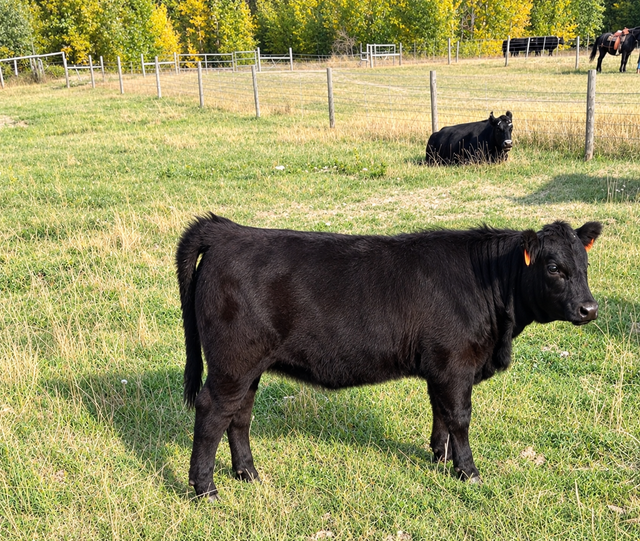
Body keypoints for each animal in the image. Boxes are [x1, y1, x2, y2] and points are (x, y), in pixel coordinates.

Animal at [176, 214, 602, 501]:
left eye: (585, 265)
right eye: (553, 267)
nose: (589, 309)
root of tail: (228, 231)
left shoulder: (439, 366)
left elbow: (440, 413)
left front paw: (439, 457)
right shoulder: (455, 363)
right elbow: (460, 418)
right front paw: (467, 471)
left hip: (248, 367)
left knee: (239, 416)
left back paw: (247, 473)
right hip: (232, 364)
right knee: (212, 414)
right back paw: (205, 489)